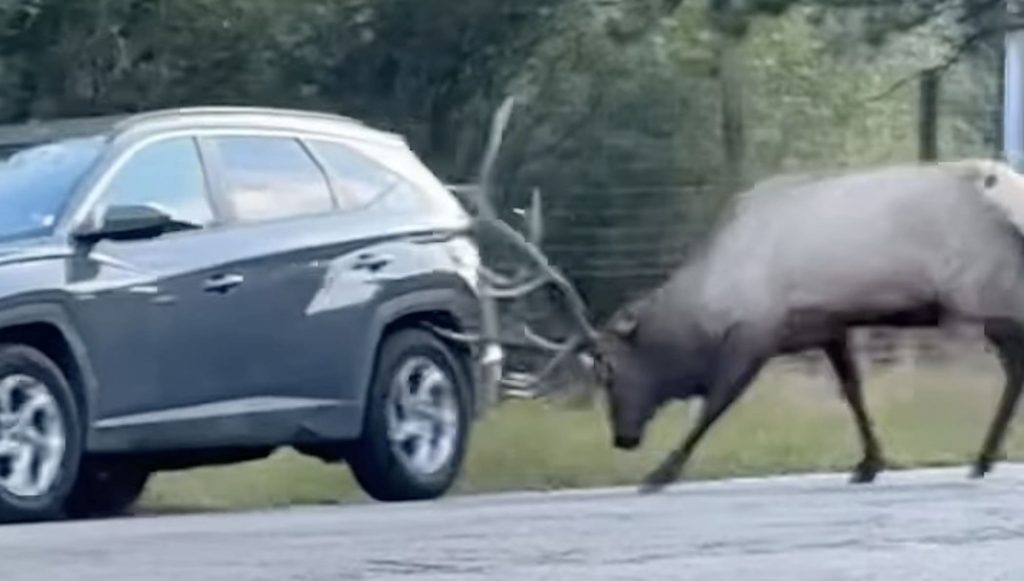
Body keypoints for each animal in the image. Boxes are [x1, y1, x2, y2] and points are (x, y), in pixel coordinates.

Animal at [445, 96, 1024, 495]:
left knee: (1014, 368)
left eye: (608, 369)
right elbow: (854, 391)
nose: (623, 439)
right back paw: (985, 456)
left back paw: (984, 457)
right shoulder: (827, 326)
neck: (706, 300)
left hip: (987, 291)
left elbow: (714, 405)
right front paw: (869, 463)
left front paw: (662, 472)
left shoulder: (756, 330)